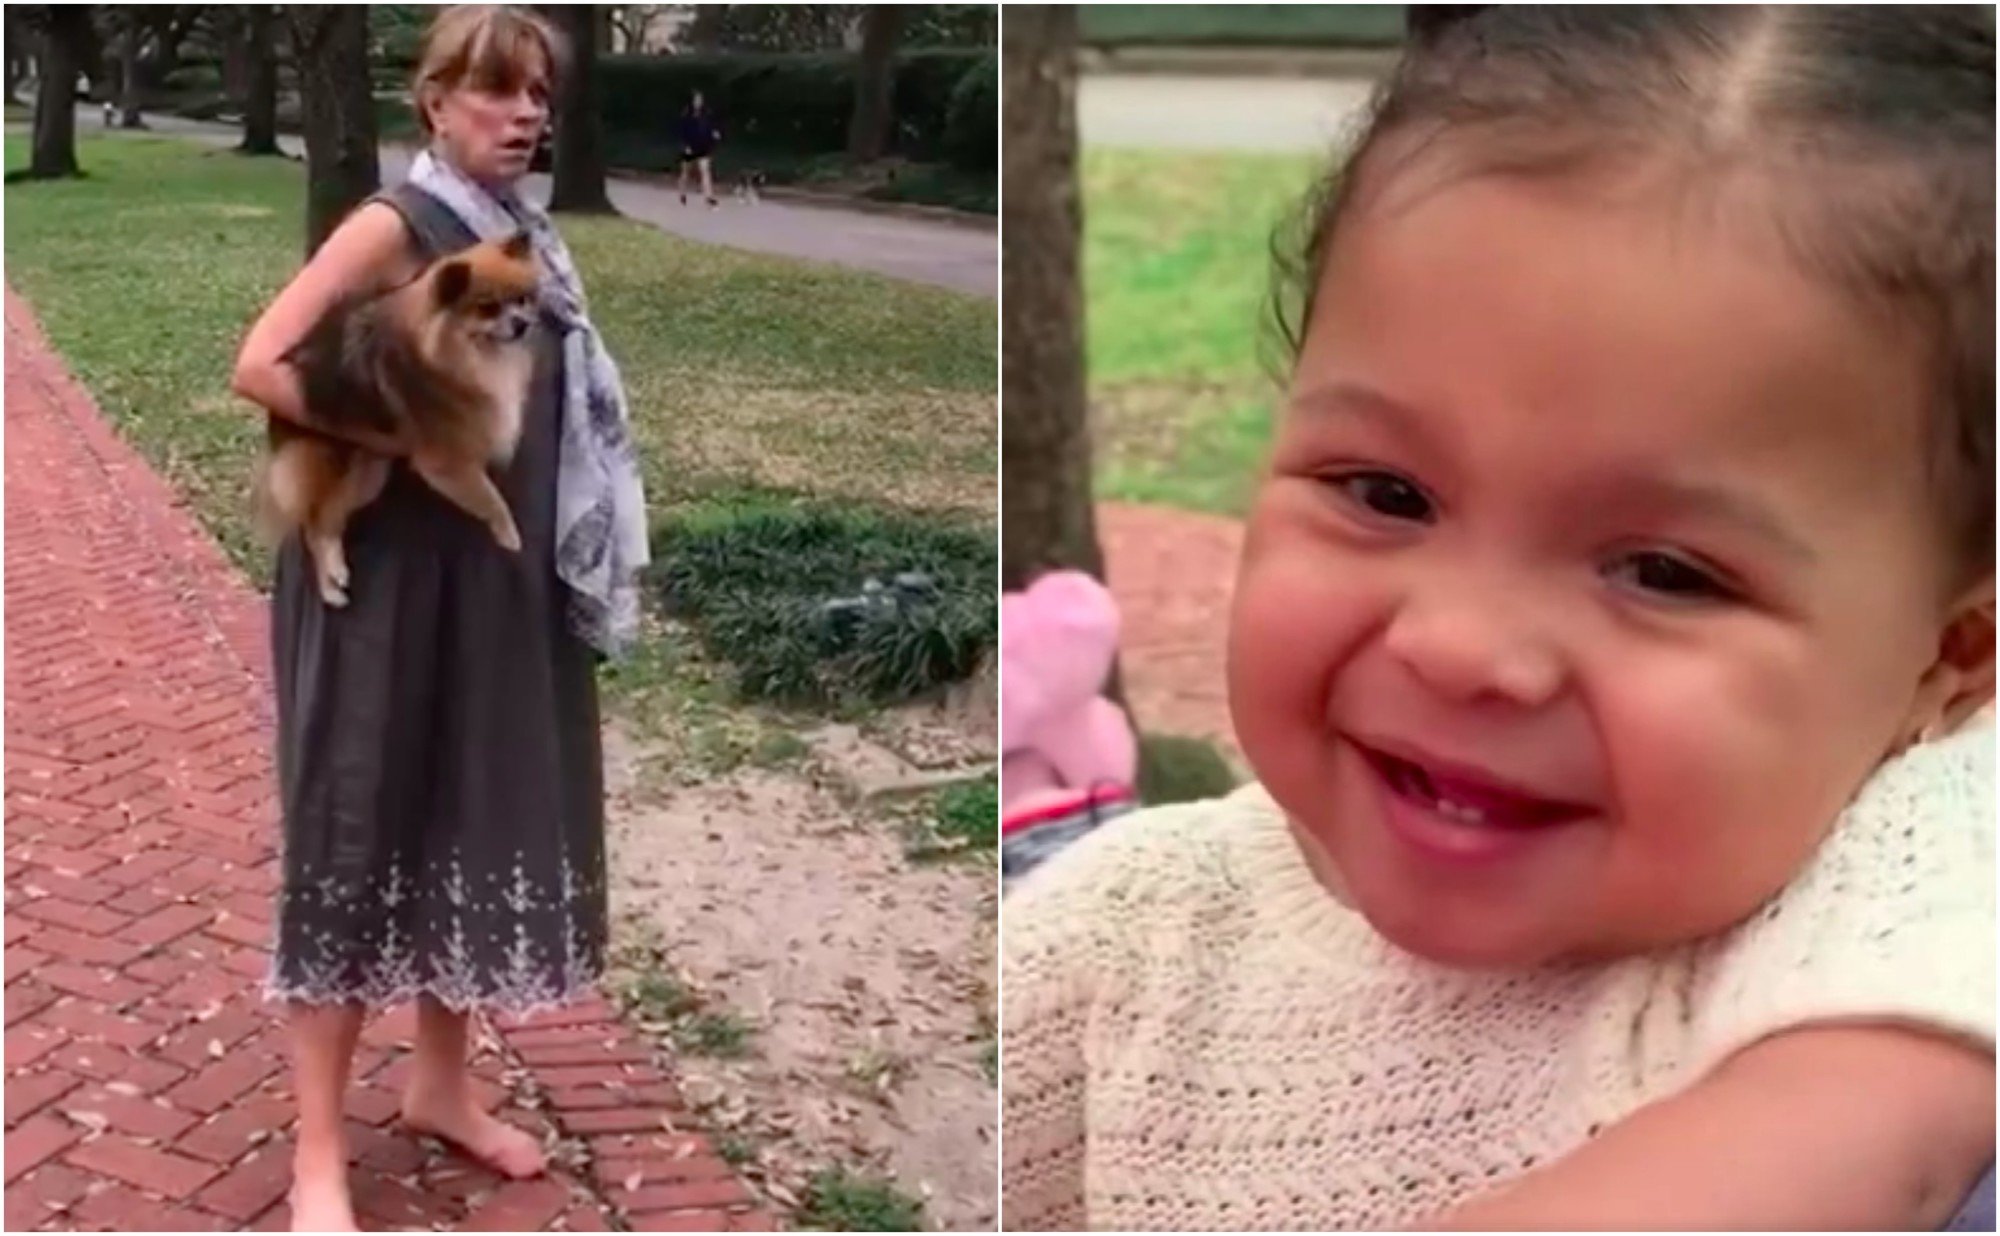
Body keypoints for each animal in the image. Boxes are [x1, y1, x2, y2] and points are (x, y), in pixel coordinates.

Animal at [258, 232, 544, 608]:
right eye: (487, 307)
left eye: (522, 300)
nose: (522, 323)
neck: (463, 352)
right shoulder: (447, 462)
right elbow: (491, 498)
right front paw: (509, 534)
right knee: (312, 523)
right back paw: (329, 588)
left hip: (367, 473)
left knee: (326, 523)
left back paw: (335, 572)